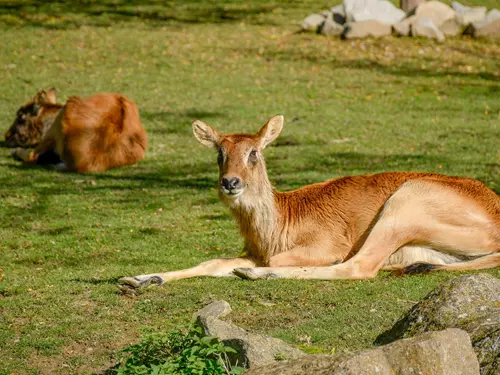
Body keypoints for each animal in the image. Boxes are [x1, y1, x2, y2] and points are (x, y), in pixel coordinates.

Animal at [118, 114, 500, 288]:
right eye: (219, 153)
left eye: (254, 152)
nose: (230, 183)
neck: (281, 222)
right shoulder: (252, 250)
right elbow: (210, 262)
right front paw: (137, 278)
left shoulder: (325, 245)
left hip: (402, 207)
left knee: (358, 267)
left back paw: (254, 274)